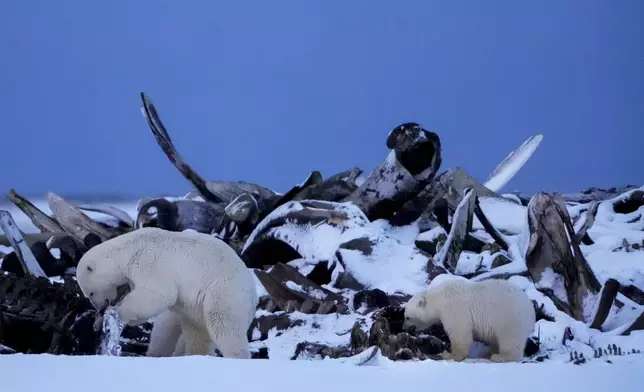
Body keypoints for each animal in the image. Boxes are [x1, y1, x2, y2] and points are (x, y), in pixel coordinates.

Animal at [75, 227, 256, 358]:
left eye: (90, 293)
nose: (99, 308)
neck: (129, 250)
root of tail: (253, 292)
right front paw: (99, 322)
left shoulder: (149, 261)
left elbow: (159, 293)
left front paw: (117, 312)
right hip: (197, 307)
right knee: (194, 331)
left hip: (223, 291)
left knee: (225, 325)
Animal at [406, 276, 536, 362]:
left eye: (407, 317)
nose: (405, 328)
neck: (438, 298)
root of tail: (531, 309)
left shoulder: (454, 308)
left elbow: (460, 332)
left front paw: (450, 355)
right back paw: (487, 353)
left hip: (510, 317)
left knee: (510, 338)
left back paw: (499, 357)